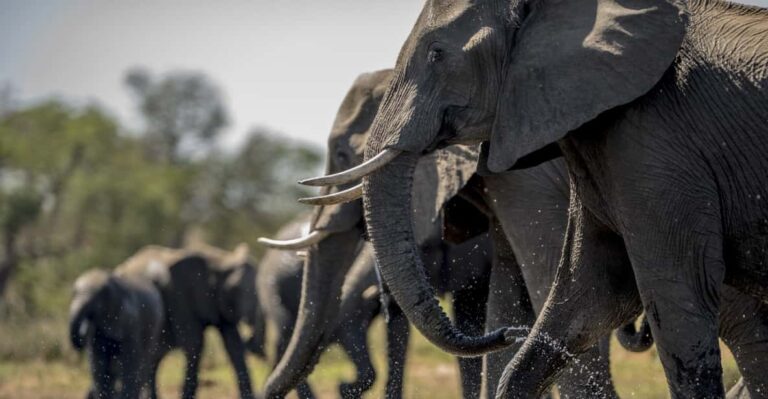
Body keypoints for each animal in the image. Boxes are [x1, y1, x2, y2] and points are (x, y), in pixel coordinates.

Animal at [69, 268, 165, 399]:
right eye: (73, 293)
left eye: (97, 300)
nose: (82, 332)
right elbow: (98, 363)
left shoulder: (131, 321)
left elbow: (130, 360)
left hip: (155, 327)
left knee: (144, 362)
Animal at [115, 244, 262, 399]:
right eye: (235, 288)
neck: (220, 260)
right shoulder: (181, 294)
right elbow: (194, 342)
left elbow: (234, 344)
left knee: (154, 357)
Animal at [302, 1, 768, 398]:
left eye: (436, 54)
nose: (509, 336)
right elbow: (581, 295)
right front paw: (513, 336)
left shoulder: (654, 147)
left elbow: (673, 302)